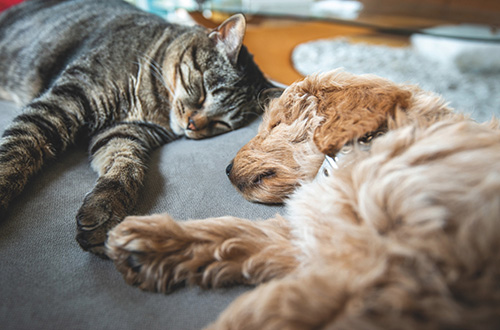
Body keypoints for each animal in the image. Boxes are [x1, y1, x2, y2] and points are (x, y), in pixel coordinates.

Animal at [0, 0, 274, 255]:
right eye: (204, 93)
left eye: (221, 123)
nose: (192, 125)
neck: (151, 104)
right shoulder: (66, 100)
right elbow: (18, 148)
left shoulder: (123, 132)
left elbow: (126, 169)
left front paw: (105, 211)